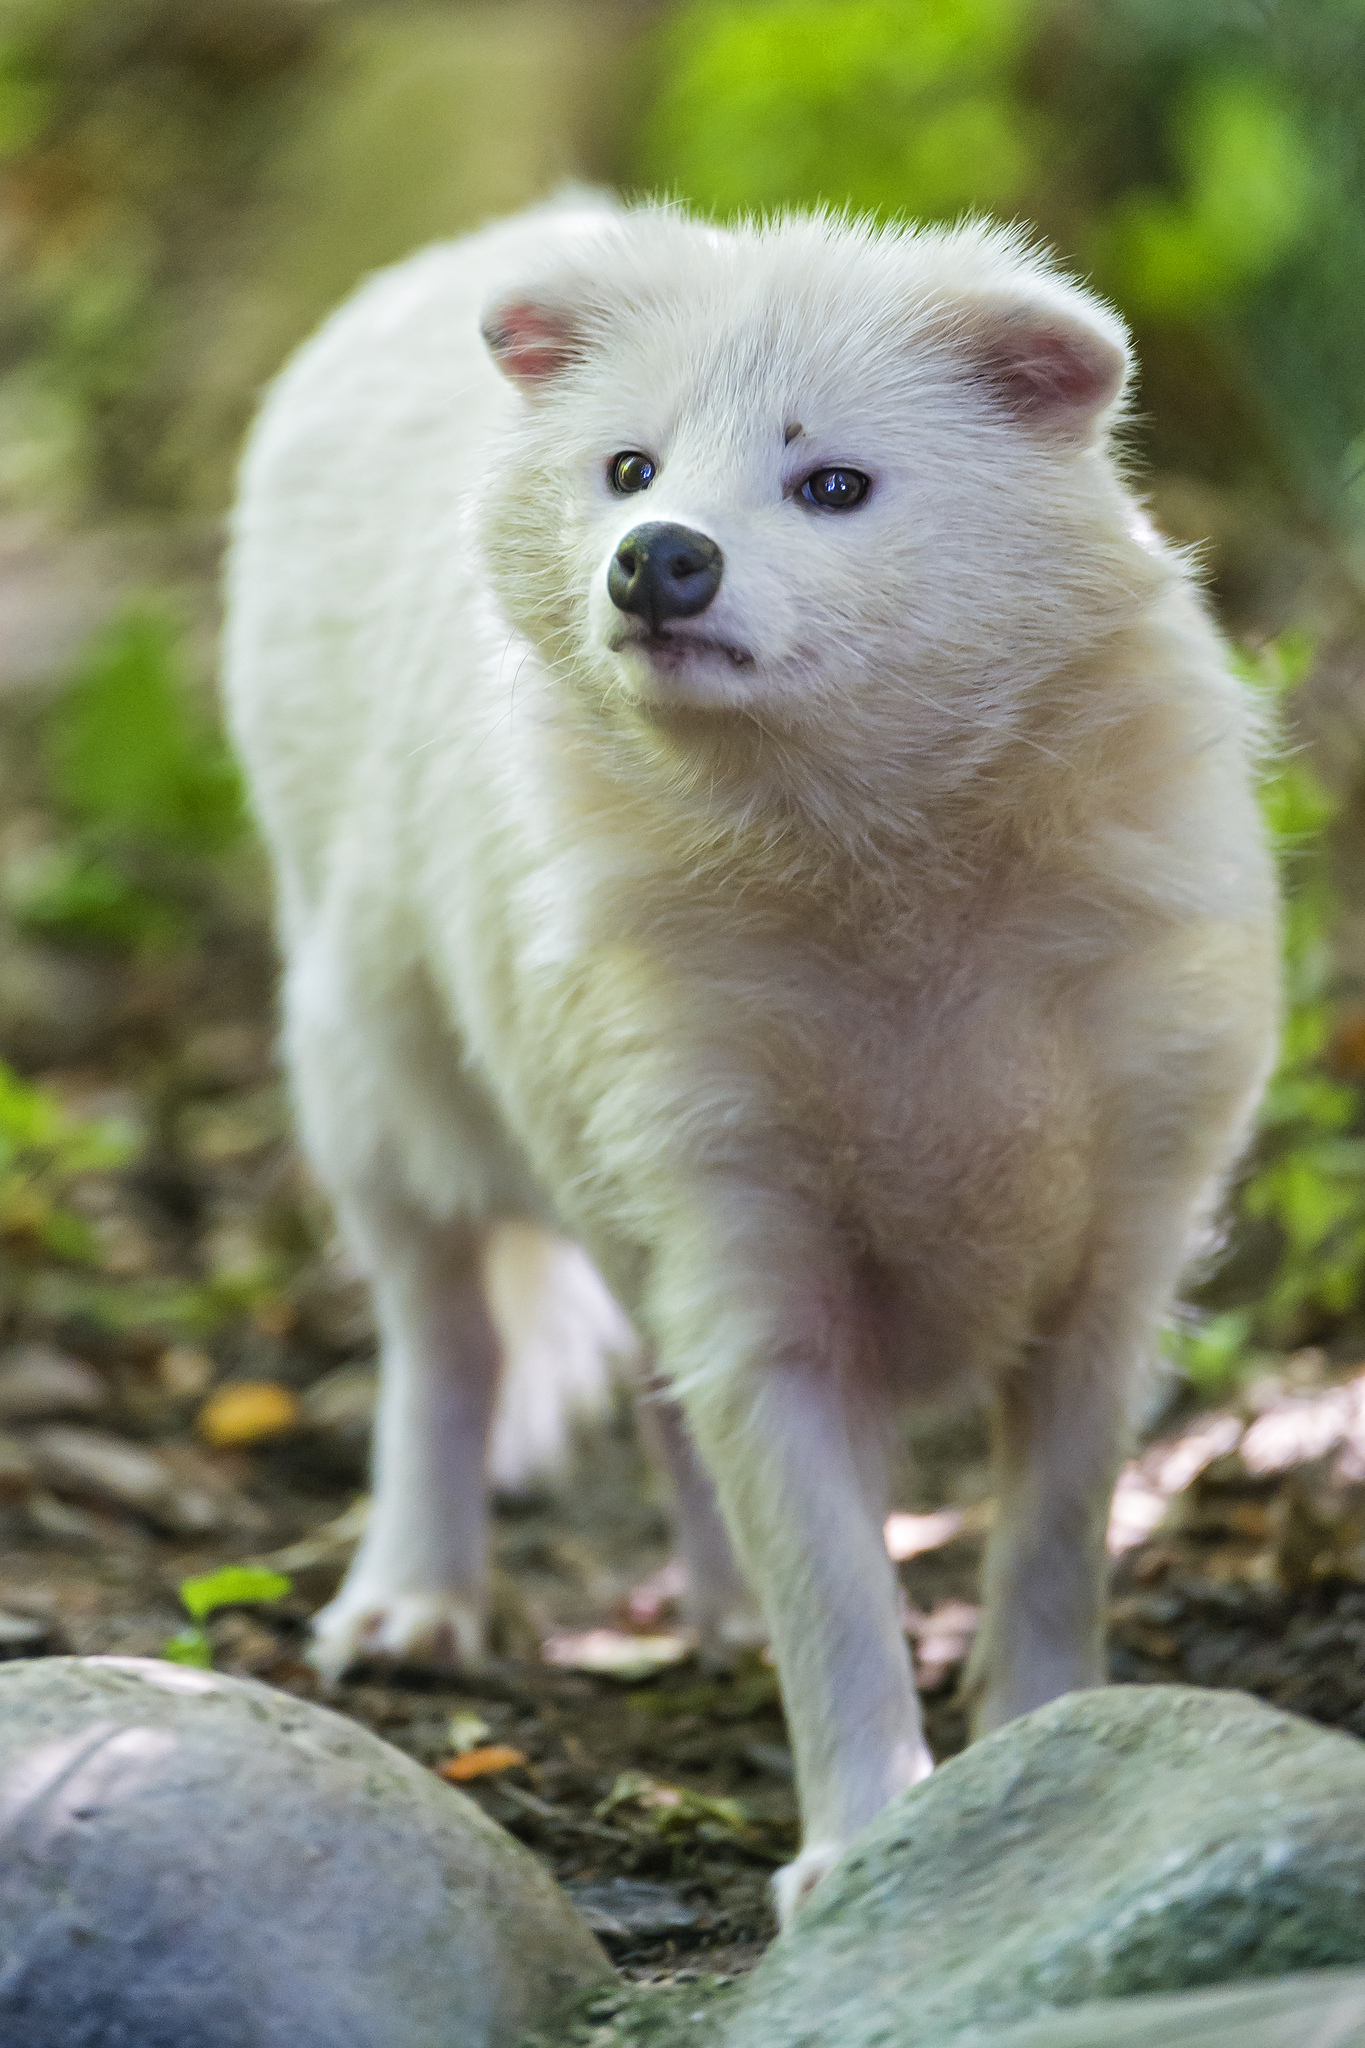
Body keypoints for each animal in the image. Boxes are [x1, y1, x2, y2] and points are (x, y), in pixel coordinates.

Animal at [224, 192, 1285, 1916]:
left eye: (833, 482)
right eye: (629, 467)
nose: (661, 558)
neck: (882, 898)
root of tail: (476, 244)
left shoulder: (1119, 1243)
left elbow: (1049, 1538)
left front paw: (1048, 1758)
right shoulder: (737, 1220)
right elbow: (830, 1579)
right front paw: (858, 1850)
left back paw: (700, 1618)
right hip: (370, 1072)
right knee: (444, 1338)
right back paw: (409, 1607)